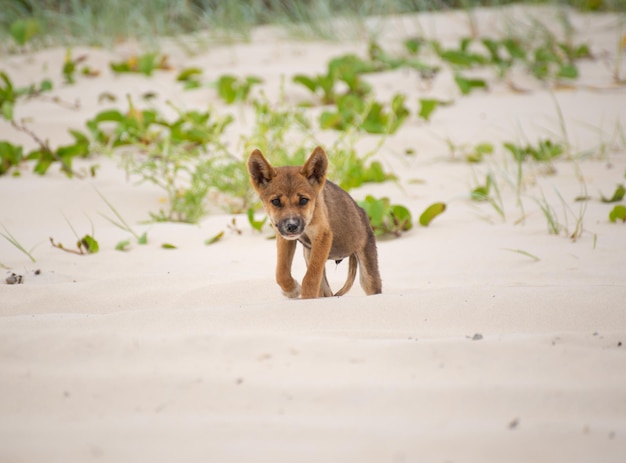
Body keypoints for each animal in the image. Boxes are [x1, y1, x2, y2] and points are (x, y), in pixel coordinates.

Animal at [246, 149, 378, 300]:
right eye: (276, 201)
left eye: (303, 200)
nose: (292, 226)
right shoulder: (285, 238)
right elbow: (281, 273)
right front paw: (291, 290)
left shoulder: (322, 236)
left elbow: (310, 278)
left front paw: (306, 299)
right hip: (309, 255)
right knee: (326, 292)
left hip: (367, 276)